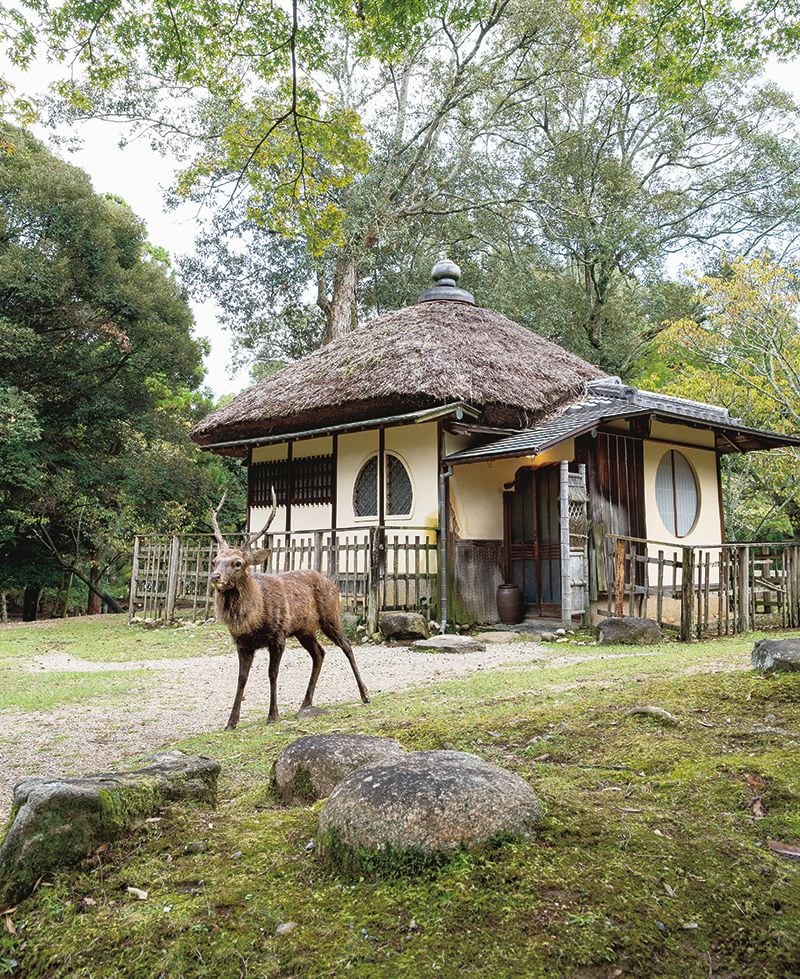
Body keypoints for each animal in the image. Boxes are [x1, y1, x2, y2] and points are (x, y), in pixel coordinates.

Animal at [208, 491, 370, 729]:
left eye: (237, 563)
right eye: (215, 560)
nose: (215, 577)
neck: (254, 618)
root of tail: (332, 582)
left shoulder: (278, 635)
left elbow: (272, 673)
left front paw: (273, 715)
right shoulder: (242, 643)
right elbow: (241, 678)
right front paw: (231, 722)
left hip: (331, 616)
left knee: (346, 645)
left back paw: (365, 694)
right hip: (305, 630)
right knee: (319, 653)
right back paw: (306, 702)